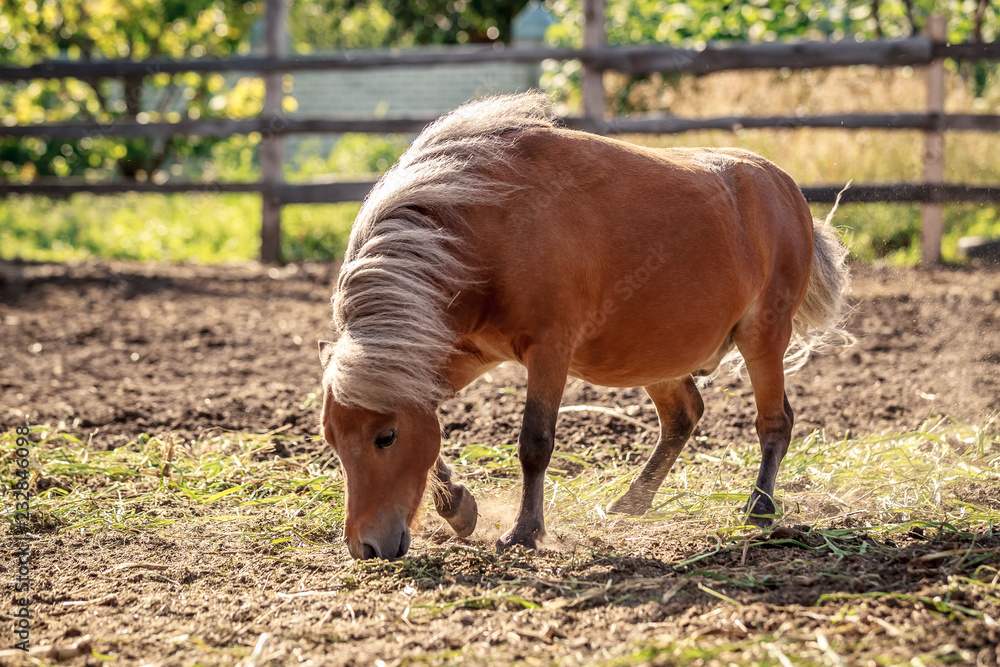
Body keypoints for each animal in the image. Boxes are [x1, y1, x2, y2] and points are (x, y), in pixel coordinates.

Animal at [318, 91, 850, 560]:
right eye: (332, 441)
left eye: (385, 437)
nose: (365, 547)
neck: (488, 224)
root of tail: (785, 188)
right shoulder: (462, 354)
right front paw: (459, 508)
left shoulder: (549, 351)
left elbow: (535, 443)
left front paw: (525, 532)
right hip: (653, 356)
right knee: (684, 415)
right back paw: (634, 502)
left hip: (764, 337)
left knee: (775, 422)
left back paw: (759, 508)